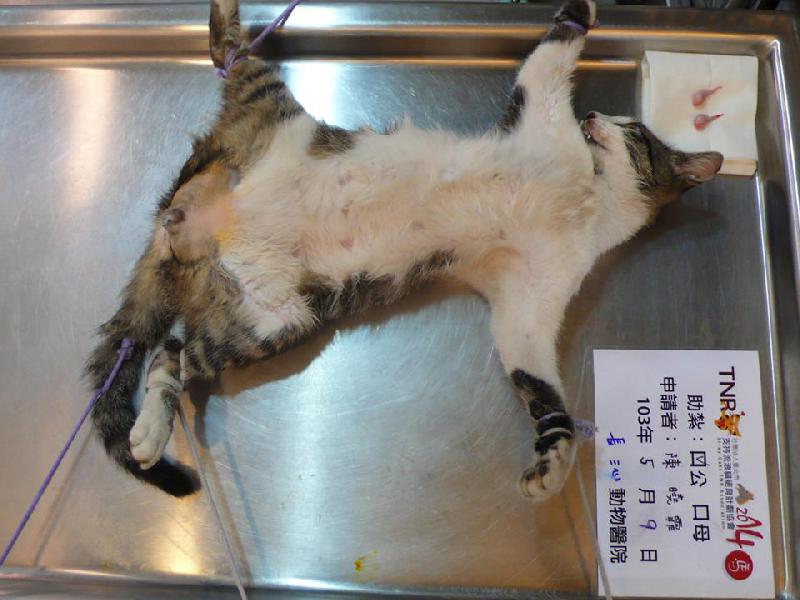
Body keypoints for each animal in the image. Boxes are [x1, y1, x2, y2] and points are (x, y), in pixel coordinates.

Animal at [86, 0, 723, 500]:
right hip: (275, 114)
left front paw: (555, 457)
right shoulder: (539, 107)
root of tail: (184, 216)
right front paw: (585, 6)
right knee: (230, 53)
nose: (594, 114)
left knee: (171, 351)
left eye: (635, 130)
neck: (585, 196)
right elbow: (552, 53)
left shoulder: (528, 306)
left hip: (273, 319)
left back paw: (151, 427)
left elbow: (538, 381)